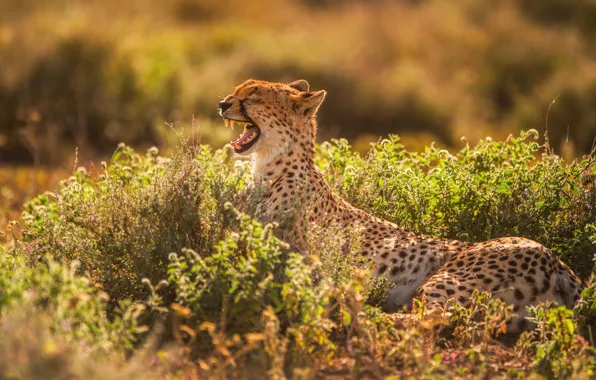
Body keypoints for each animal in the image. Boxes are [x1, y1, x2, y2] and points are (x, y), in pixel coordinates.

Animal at [217, 78, 580, 332]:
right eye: (235, 92)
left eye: (252, 97)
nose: (222, 103)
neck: (272, 165)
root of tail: (558, 263)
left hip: (449, 279)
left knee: (434, 317)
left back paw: (364, 313)